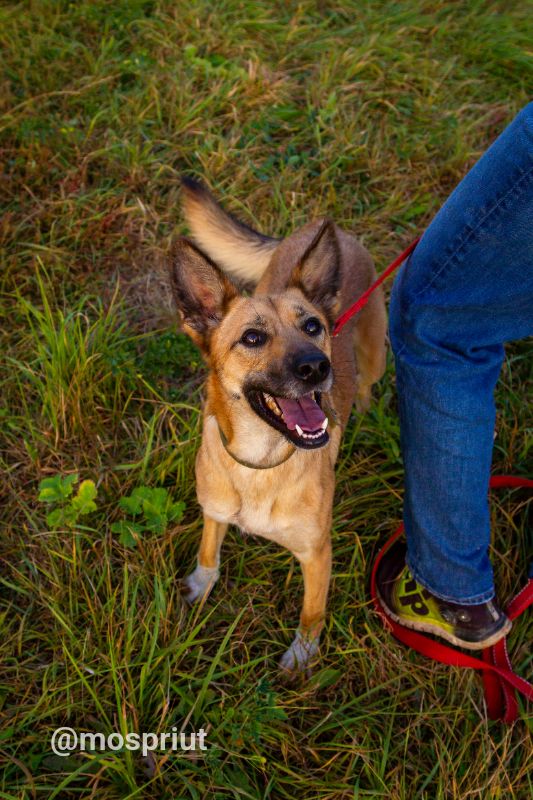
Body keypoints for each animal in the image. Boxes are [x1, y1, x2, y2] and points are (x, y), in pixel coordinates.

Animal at [170, 178, 386, 672]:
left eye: (312, 327)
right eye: (252, 338)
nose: (318, 368)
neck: (260, 462)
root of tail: (328, 228)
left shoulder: (317, 554)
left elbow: (312, 612)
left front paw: (302, 658)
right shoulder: (214, 511)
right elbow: (208, 551)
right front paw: (200, 585)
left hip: (376, 352)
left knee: (368, 384)